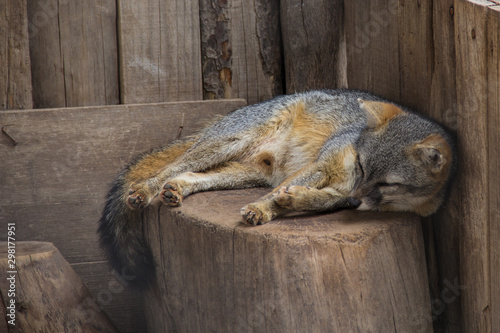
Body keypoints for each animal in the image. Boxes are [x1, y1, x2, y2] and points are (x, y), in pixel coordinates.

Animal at [97, 89, 458, 288]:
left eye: (387, 183)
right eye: (361, 166)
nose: (357, 203)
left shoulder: (340, 195)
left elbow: (316, 201)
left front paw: (293, 202)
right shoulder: (321, 166)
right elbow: (282, 192)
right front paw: (263, 209)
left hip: (242, 173)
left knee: (188, 174)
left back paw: (176, 191)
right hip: (224, 144)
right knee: (169, 167)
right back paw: (145, 190)